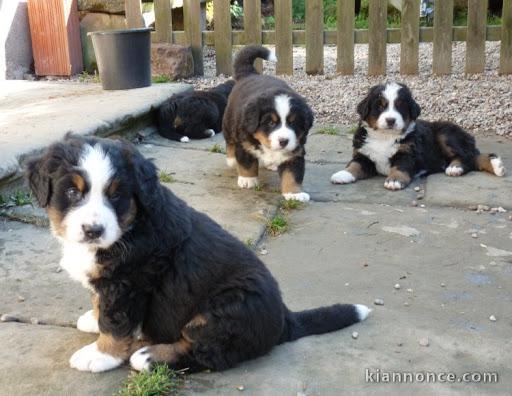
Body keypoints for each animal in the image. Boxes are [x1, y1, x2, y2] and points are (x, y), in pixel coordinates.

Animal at [26, 135, 370, 372]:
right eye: (72, 192)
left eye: (117, 195)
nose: (93, 231)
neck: (131, 227)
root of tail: (283, 319)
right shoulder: (111, 280)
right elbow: (100, 305)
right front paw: (92, 320)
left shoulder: (128, 282)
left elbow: (115, 321)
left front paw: (100, 355)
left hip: (226, 306)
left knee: (208, 352)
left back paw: (150, 356)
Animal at [223, 44, 314, 203]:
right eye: (271, 123)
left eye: (293, 123)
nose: (283, 141)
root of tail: (251, 74)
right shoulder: (244, 143)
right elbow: (247, 163)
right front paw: (248, 180)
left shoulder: (295, 152)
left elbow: (293, 174)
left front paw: (294, 194)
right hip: (229, 122)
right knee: (230, 141)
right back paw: (232, 159)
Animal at [330, 81, 506, 189]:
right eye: (379, 106)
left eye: (401, 107)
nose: (390, 120)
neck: (385, 137)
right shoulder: (364, 154)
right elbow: (355, 165)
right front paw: (343, 174)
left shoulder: (407, 153)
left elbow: (400, 167)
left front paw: (394, 180)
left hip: (446, 134)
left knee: (468, 156)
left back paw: (456, 167)